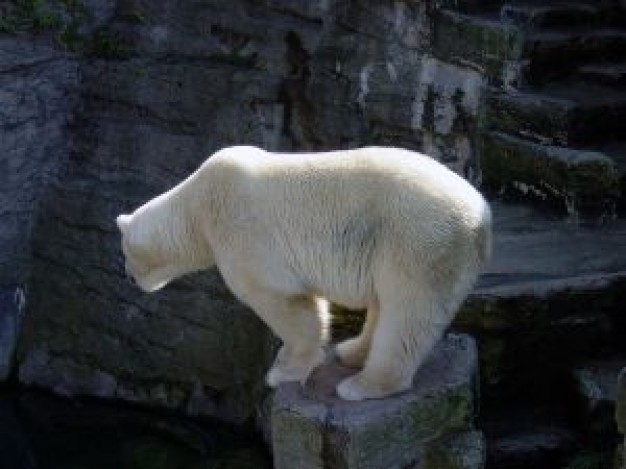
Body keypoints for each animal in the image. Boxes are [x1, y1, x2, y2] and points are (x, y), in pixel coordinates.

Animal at [114, 145, 490, 398]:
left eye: (124, 253)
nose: (128, 277)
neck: (197, 207)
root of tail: (482, 216)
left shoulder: (242, 235)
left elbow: (284, 303)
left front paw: (285, 370)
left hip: (418, 241)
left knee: (407, 313)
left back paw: (363, 385)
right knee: (385, 303)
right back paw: (351, 352)